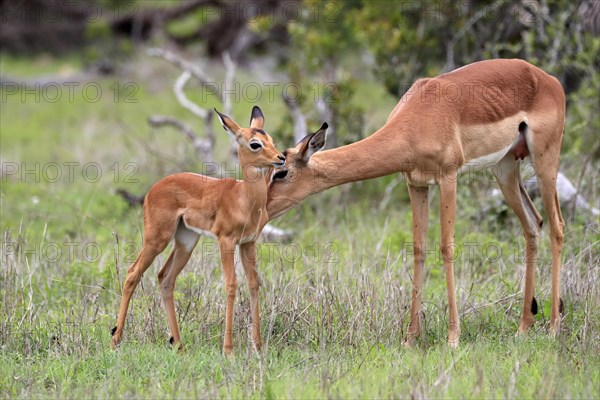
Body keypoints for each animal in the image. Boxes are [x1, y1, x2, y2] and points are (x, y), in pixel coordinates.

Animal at [112, 104, 286, 354]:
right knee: (132, 273)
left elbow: (254, 283)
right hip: (157, 239)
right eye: (255, 144)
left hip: (186, 242)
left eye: (270, 139)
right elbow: (231, 284)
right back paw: (116, 339)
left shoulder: (248, 242)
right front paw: (228, 350)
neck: (244, 199)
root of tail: (153, 188)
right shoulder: (226, 240)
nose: (281, 158)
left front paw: (259, 346)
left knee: (165, 277)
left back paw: (179, 344)